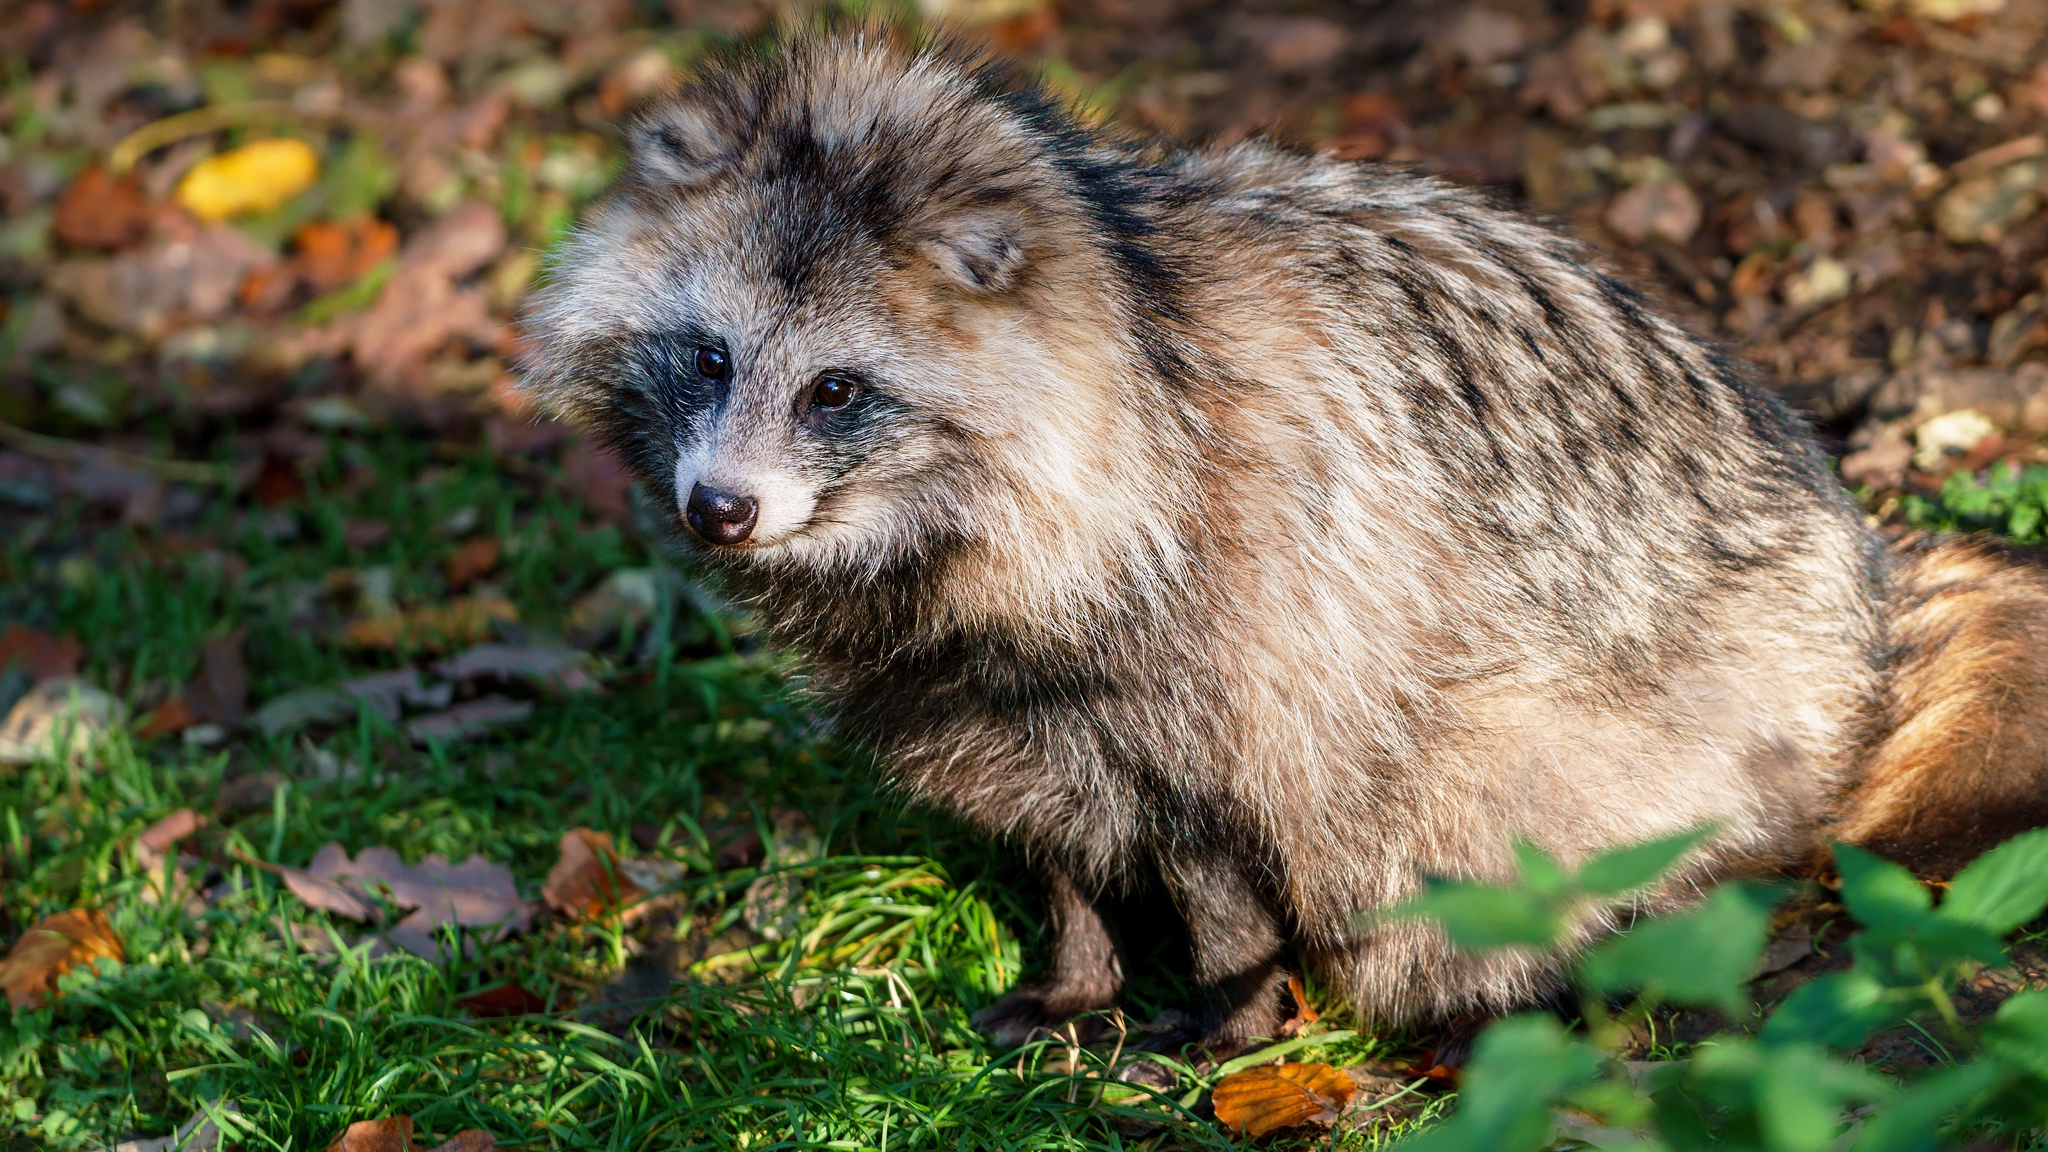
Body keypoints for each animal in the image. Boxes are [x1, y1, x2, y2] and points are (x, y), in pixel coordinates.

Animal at [516, 31, 2048, 1045]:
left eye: (835, 390)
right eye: (708, 360)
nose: (717, 510)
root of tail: (1861, 645)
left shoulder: (1251, 649)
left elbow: (1223, 857)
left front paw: (1235, 1015)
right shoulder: (989, 691)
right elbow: (1055, 832)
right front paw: (1079, 970)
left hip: (1572, 740)